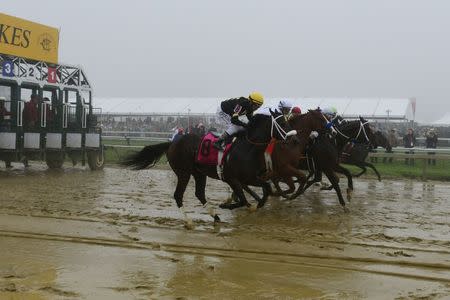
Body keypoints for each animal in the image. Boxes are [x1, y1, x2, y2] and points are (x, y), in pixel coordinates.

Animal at [122, 109, 296, 226]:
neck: (247, 148)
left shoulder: (250, 177)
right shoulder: (232, 178)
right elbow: (242, 198)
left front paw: (255, 206)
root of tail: (172, 143)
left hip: (199, 173)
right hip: (183, 173)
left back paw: (215, 217)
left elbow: (266, 189)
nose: (295, 139)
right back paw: (189, 222)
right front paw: (228, 205)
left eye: (288, 121)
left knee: (199, 194)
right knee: (178, 195)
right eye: (282, 123)